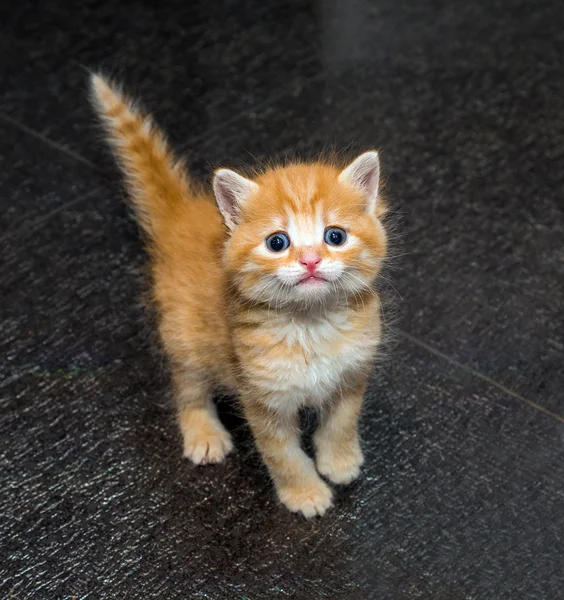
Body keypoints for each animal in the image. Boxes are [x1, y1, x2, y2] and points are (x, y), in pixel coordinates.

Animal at [90, 74, 388, 516]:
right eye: (278, 242)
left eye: (335, 236)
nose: (311, 260)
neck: (311, 325)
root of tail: (183, 214)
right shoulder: (262, 396)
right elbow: (283, 454)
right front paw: (305, 492)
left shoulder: (353, 373)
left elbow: (341, 422)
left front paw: (339, 460)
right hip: (185, 335)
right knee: (188, 386)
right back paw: (202, 431)